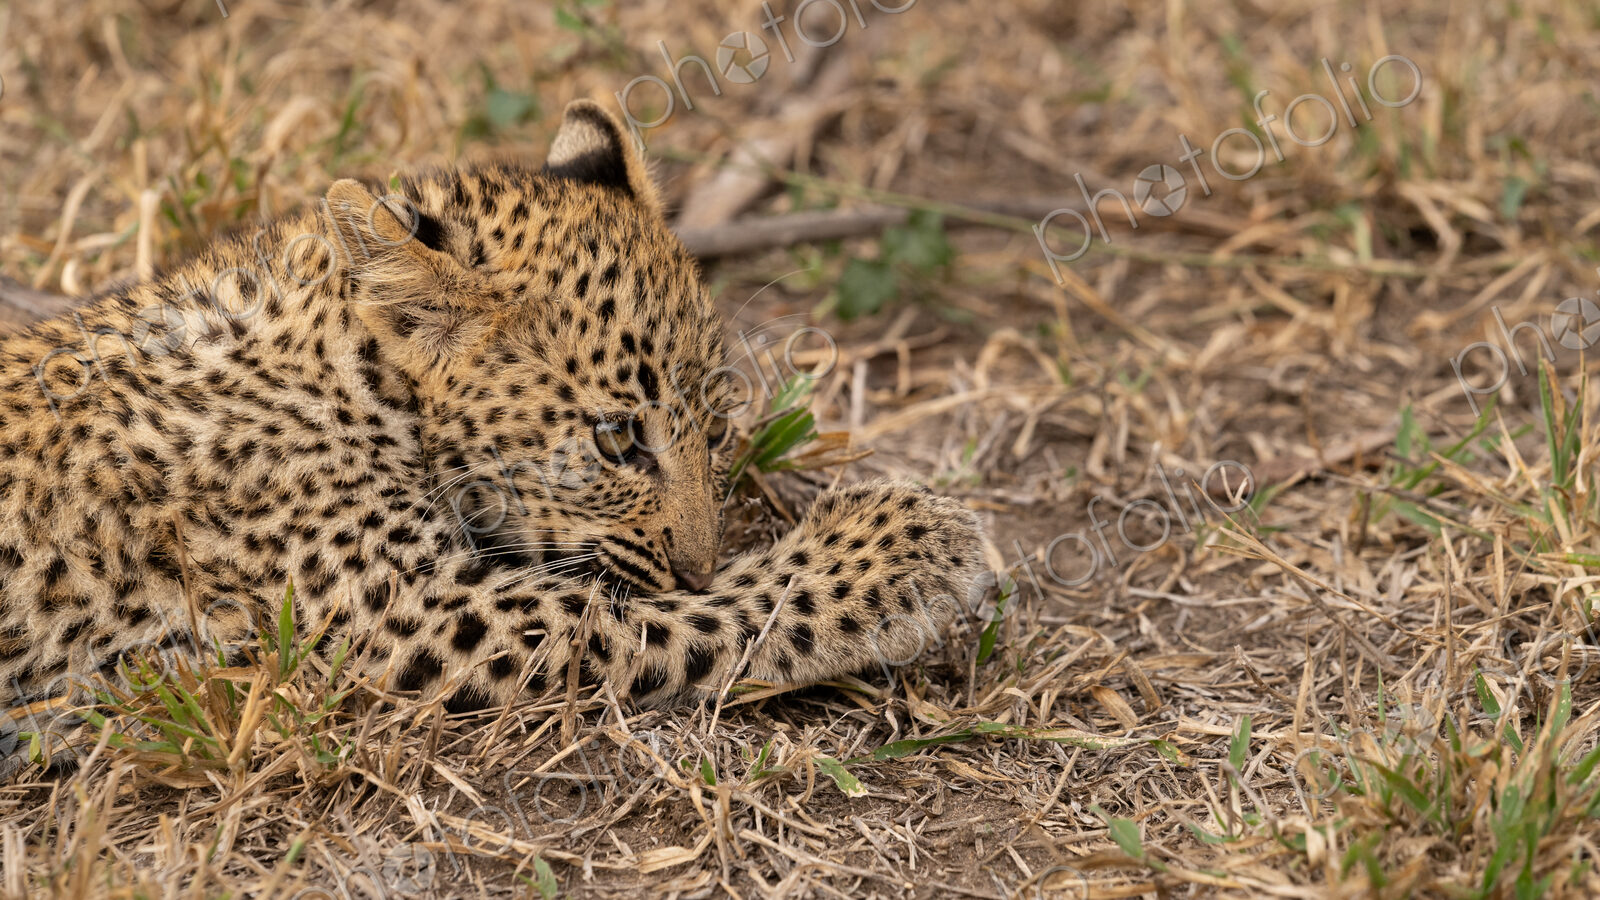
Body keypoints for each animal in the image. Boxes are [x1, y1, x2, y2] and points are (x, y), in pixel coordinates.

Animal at [0, 100, 988, 739]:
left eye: (713, 428)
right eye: (617, 441)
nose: (700, 559)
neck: (360, 371)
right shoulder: (408, 610)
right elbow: (664, 615)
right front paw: (902, 552)